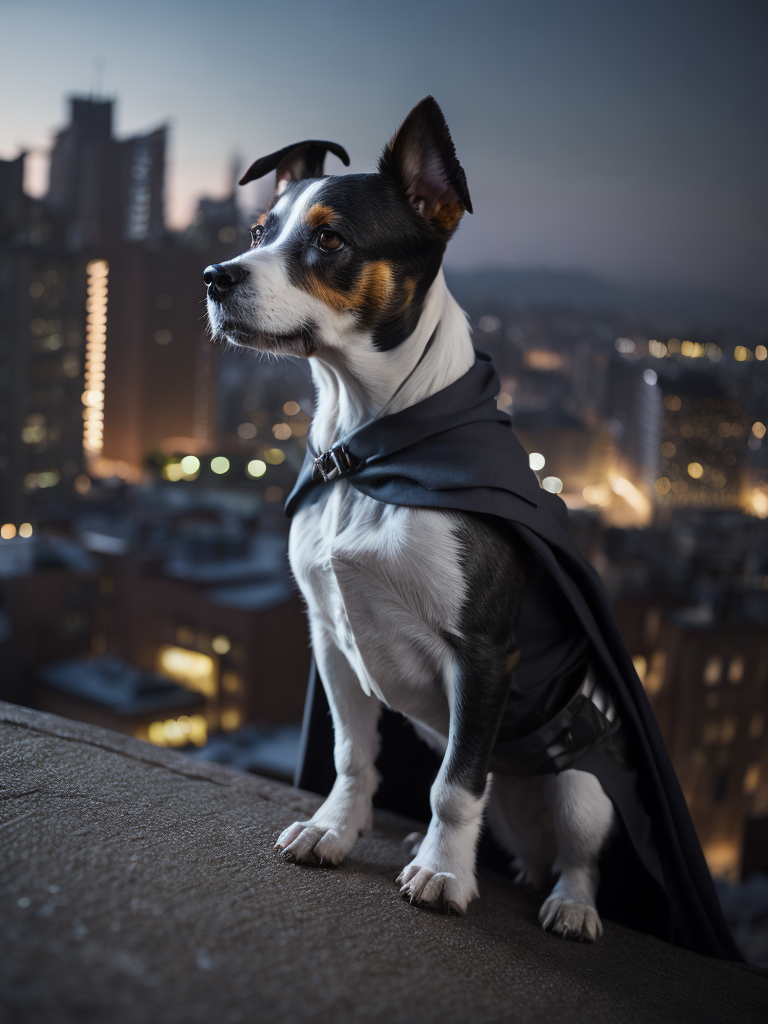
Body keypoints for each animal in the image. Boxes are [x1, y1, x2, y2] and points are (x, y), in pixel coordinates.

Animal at [204, 99, 614, 937]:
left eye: (330, 239)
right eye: (260, 230)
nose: (214, 277)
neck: (371, 453)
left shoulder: (485, 656)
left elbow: (455, 786)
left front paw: (444, 873)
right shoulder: (330, 637)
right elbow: (352, 756)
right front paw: (336, 829)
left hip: (582, 782)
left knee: (577, 851)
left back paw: (569, 903)